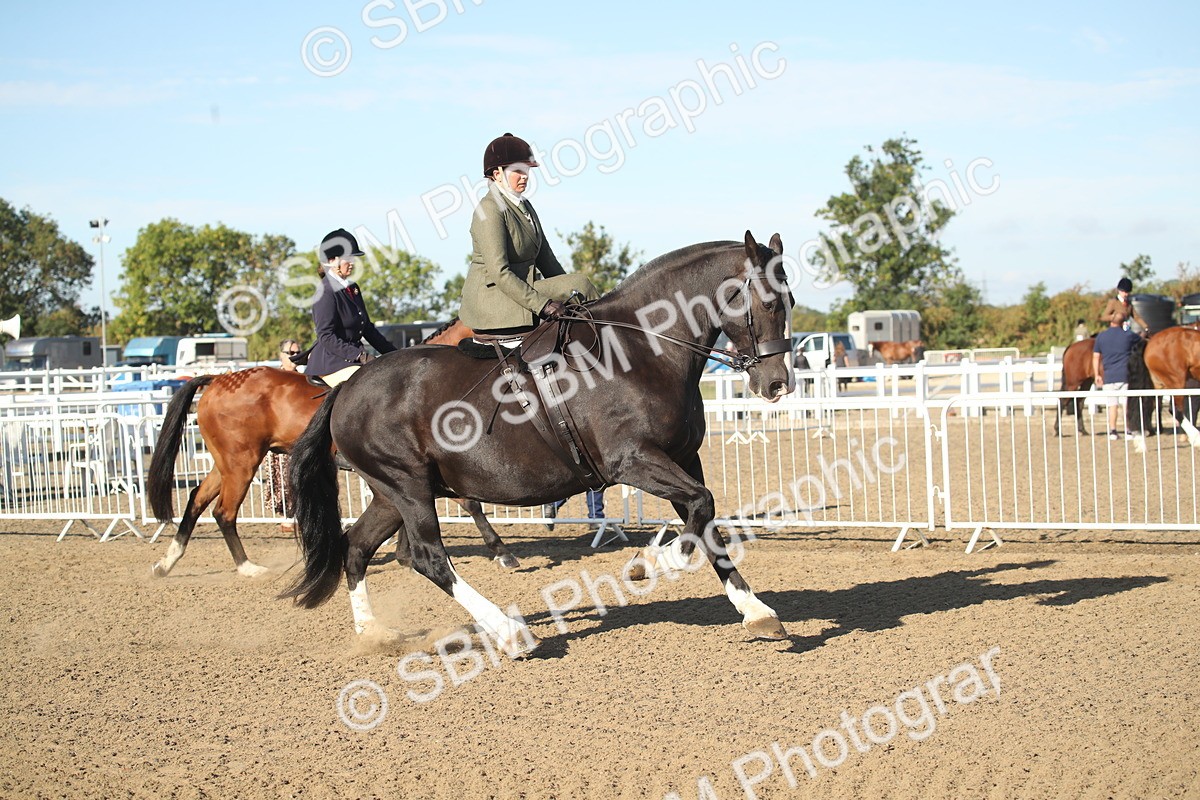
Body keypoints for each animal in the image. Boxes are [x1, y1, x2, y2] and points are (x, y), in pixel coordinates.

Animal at [146, 320, 520, 578]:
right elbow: (470, 503)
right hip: (242, 462)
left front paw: (404, 554)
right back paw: (247, 567)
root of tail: (217, 379)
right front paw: (502, 552)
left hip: (228, 461)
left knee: (197, 499)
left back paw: (167, 562)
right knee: (223, 511)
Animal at [282, 231, 795, 655]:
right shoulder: (634, 461)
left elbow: (706, 520)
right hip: (406, 487)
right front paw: (650, 563)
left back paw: (374, 635)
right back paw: (509, 632)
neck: (643, 351)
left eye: (790, 300)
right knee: (428, 557)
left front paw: (757, 613)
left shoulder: (685, 458)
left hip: (393, 494)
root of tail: (348, 387)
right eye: (769, 303)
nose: (777, 384)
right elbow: (701, 508)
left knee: (358, 548)